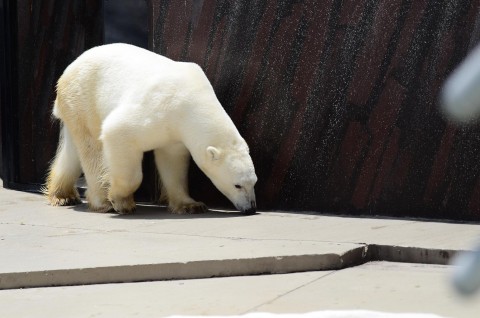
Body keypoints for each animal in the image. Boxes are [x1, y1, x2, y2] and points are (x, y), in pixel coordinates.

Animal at [43, 43, 256, 215]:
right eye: (237, 185)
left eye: (254, 182)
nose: (251, 209)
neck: (193, 101)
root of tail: (68, 70)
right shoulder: (158, 107)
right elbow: (118, 132)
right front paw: (120, 200)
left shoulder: (175, 132)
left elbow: (173, 162)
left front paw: (191, 205)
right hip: (84, 98)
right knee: (92, 150)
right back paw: (102, 202)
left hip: (76, 108)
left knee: (73, 151)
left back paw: (62, 195)